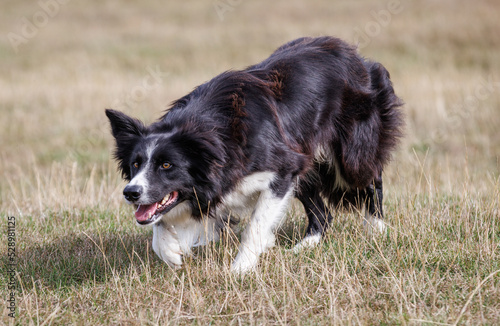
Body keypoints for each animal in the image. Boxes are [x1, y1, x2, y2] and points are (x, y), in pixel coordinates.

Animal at [105, 37, 402, 274]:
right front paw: (171, 253)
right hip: (305, 160)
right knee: (322, 212)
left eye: (167, 165)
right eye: (135, 164)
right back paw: (303, 247)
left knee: (370, 178)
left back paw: (376, 228)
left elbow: (255, 226)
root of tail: (359, 58)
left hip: (350, 149)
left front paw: (240, 270)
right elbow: (161, 224)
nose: (130, 193)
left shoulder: (282, 168)